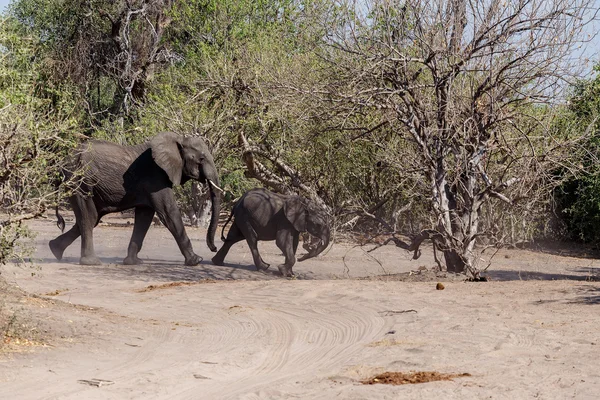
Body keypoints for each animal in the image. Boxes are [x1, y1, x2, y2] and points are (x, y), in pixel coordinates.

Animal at [49, 131, 220, 268]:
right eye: (201, 159)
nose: (214, 248)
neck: (177, 139)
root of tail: (64, 161)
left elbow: (144, 217)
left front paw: (133, 262)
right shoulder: (156, 178)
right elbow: (169, 213)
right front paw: (196, 261)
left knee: (92, 217)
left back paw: (54, 250)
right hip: (80, 181)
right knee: (89, 217)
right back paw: (91, 262)